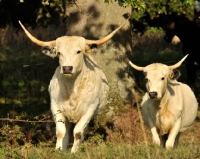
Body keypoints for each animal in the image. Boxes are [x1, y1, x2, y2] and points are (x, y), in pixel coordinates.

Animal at [18, 20, 123, 152]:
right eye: (59, 53)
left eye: (78, 51)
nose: (67, 68)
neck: (72, 90)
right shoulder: (56, 107)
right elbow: (60, 132)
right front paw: (58, 150)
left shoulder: (90, 109)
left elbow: (78, 132)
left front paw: (74, 152)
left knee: (81, 131)